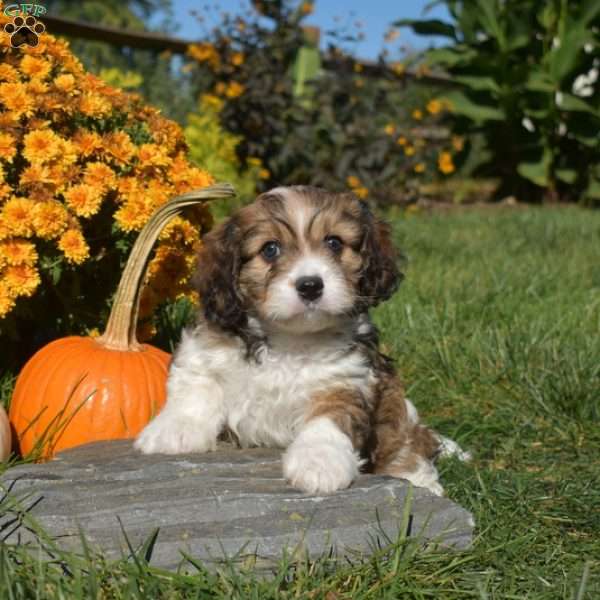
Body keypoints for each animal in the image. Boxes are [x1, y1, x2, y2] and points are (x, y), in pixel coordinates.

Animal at [136, 185, 468, 494]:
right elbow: (194, 387)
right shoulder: (205, 349)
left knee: (408, 446)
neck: (289, 338)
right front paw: (173, 430)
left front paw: (319, 464)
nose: (310, 286)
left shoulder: (344, 382)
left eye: (334, 243)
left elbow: (327, 421)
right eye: (270, 249)